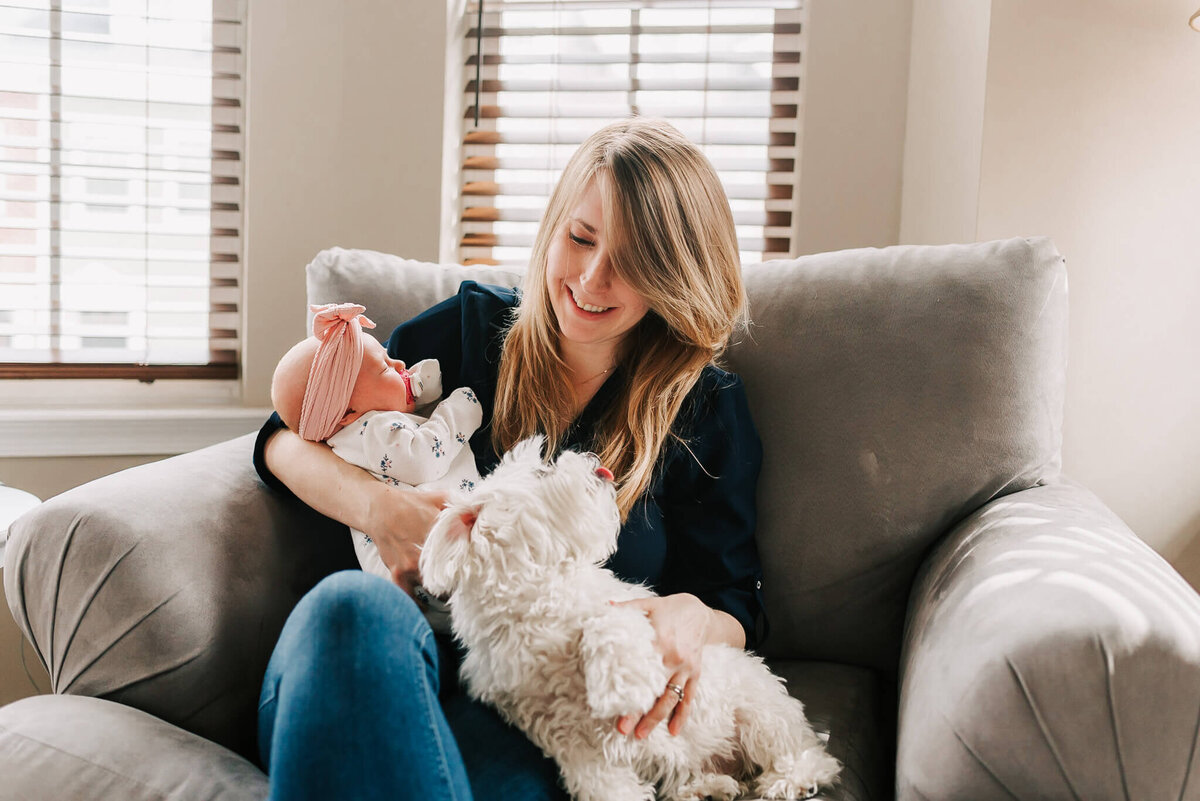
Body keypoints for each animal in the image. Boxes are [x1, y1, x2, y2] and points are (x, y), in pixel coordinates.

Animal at [417, 438, 840, 801]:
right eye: (541, 472)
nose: (600, 467)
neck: (537, 595)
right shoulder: (557, 729)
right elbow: (595, 780)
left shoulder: (636, 618)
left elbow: (606, 624)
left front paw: (619, 689)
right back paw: (704, 787)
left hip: (758, 711)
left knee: (804, 753)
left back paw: (792, 778)